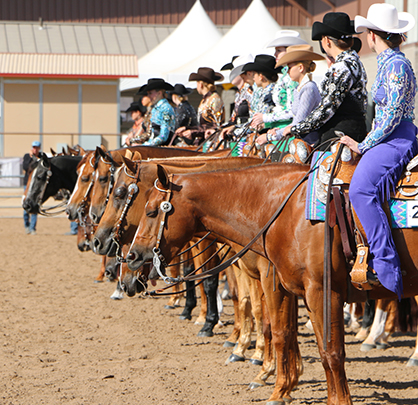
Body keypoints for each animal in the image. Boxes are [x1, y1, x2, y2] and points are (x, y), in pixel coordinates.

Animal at [125, 162, 418, 404]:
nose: (132, 257)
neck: (286, 211)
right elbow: (288, 335)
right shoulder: (292, 289)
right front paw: (281, 389)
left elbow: (330, 352)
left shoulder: (321, 291)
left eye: (151, 211)